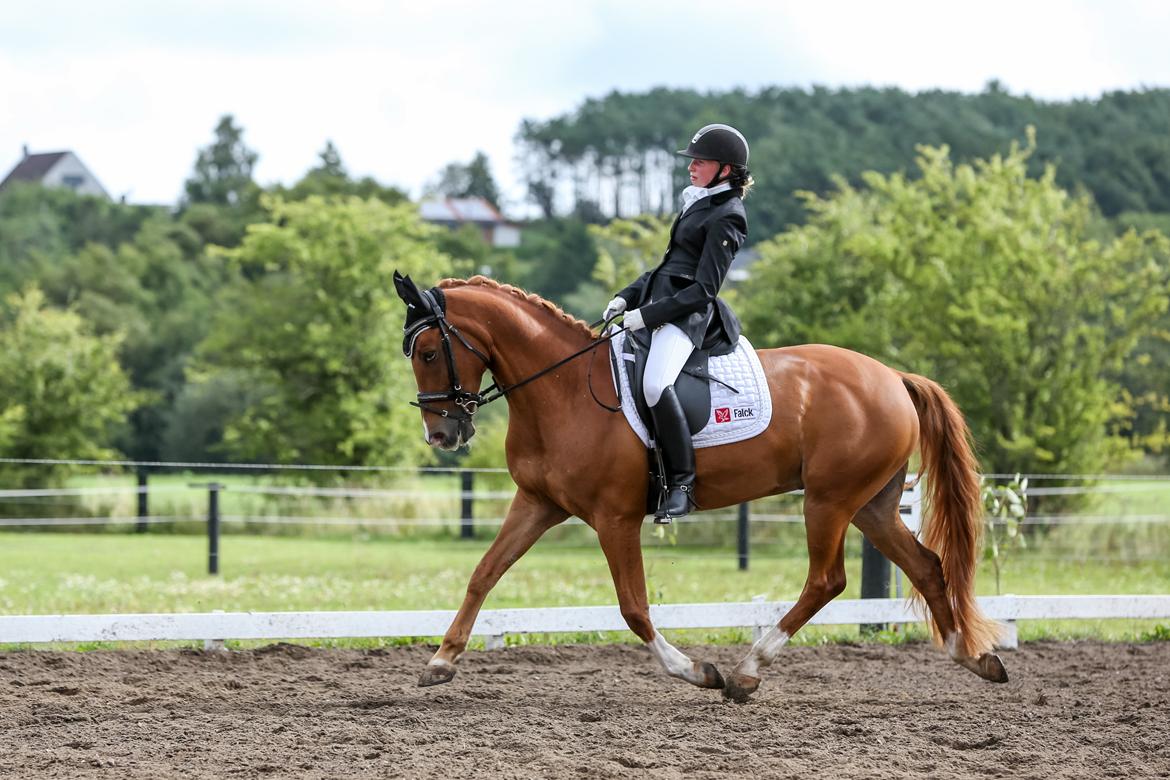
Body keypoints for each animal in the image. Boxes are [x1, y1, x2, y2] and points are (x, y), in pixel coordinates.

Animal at [393, 273, 1008, 702]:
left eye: (429, 352)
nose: (440, 434)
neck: (562, 389)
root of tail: (894, 377)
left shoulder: (615, 518)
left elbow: (634, 607)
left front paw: (696, 671)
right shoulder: (538, 503)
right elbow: (484, 573)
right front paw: (440, 662)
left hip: (829, 501)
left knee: (827, 580)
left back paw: (745, 674)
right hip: (871, 506)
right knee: (926, 565)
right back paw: (973, 657)